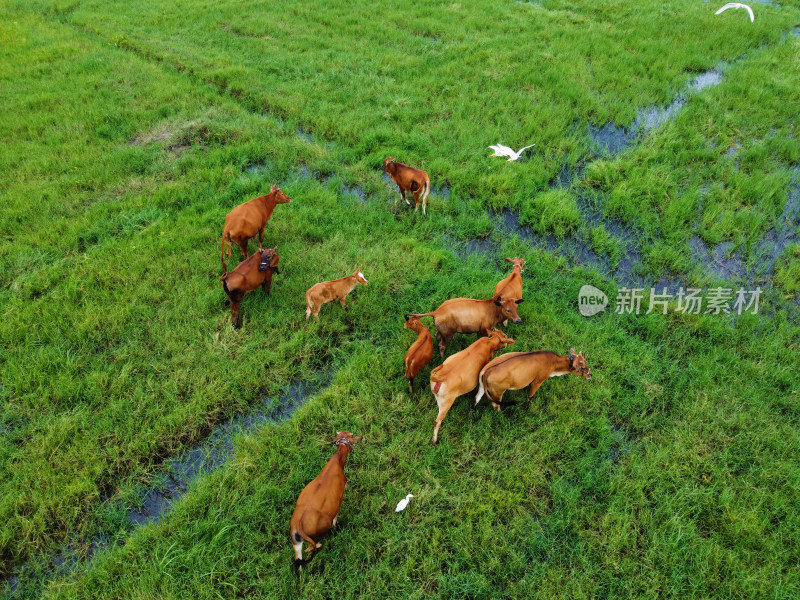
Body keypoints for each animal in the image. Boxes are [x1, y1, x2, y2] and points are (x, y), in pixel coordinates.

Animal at [290, 432, 362, 572]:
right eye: (352, 435)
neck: (338, 461)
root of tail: (299, 525)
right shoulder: (338, 499)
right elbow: (335, 517)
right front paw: (336, 527)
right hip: (318, 534)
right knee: (313, 547)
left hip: (296, 544)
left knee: (299, 561)